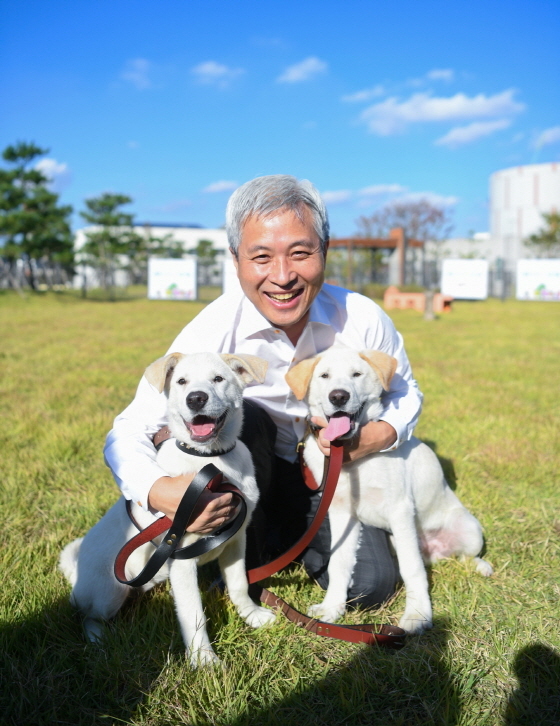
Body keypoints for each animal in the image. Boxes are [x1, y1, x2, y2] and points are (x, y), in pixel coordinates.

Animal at [60, 356, 276, 668]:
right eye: (181, 381)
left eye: (218, 379)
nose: (196, 398)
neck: (212, 462)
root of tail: (75, 574)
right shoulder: (181, 558)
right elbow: (194, 614)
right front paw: (204, 660)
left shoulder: (236, 539)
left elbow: (239, 584)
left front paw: (252, 615)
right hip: (109, 591)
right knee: (88, 617)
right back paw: (100, 640)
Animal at [286, 350, 492, 636]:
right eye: (324, 375)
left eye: (356, 374)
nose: (338, 396)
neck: (350, 458)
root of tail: (433, 549)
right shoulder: (341, 513)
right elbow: (339, 563)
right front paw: (331, 609)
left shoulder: (400, 510)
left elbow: (411, 568)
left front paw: (417, 616)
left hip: (468, 529)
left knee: (462, 556)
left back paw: (481, 566)